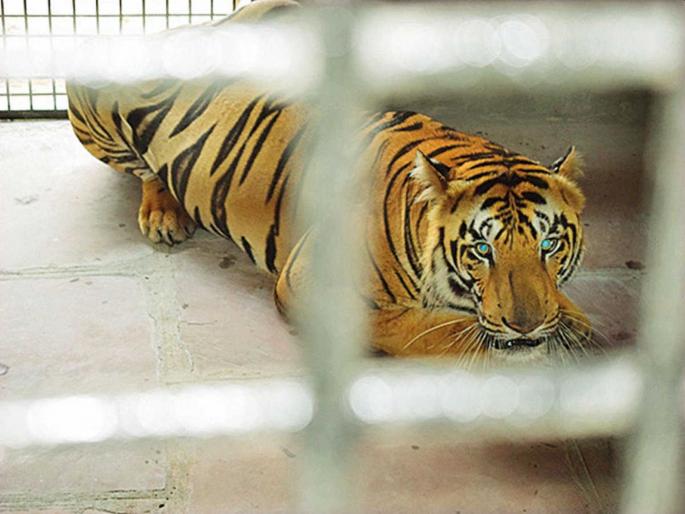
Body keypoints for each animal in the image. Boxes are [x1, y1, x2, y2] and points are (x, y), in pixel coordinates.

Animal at [66, 0, 592, 363]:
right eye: (482, 250)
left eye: (549, 244)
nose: (526, 326)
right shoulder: (314, 285)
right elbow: (429, 331)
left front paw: (572, 321)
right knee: (144, 169)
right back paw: (163, 215)